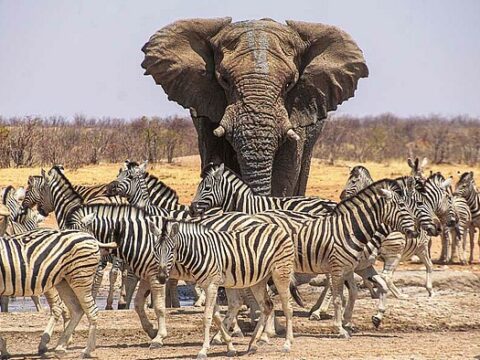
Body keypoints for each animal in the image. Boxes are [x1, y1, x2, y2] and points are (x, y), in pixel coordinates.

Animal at [0, 228, 116, 358]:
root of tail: (92, 238)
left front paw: (3, 350)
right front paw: (4, 350)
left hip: (80, 278)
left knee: (91, 311)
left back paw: (86, 350)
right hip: (63, 281)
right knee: (76, 310)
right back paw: (60, 347)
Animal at [155, 219, 296, 358]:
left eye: (172, 250)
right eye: (155, 251)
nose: (161, 277)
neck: (200, 252)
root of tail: (276, 227)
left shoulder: (212, 285)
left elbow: (207, 317)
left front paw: (203, 350)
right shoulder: (206, 285)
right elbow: (216, 315)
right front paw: (229, 345)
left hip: (281, 272)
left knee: (287, 307)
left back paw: (287, 344)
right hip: (259, 280)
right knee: (266, 306)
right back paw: (252, 344)